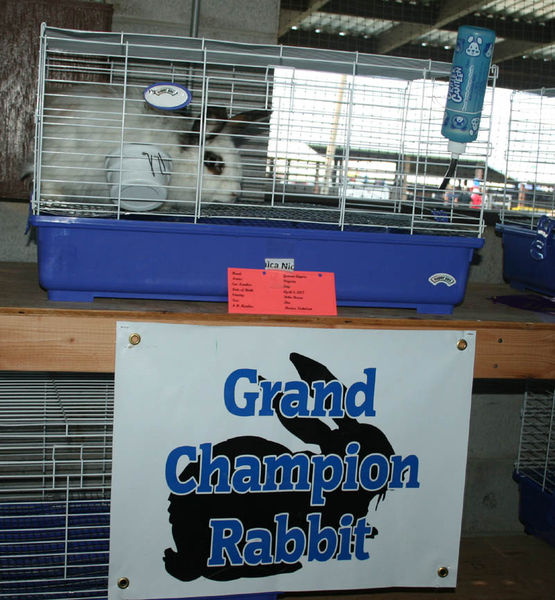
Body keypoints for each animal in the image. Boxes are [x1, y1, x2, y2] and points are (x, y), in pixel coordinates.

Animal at [22, 84, 270, 211]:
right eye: (212, 161)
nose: (235, 193)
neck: (179, 156)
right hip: (59, 169)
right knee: (48, 183)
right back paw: (56, 200)